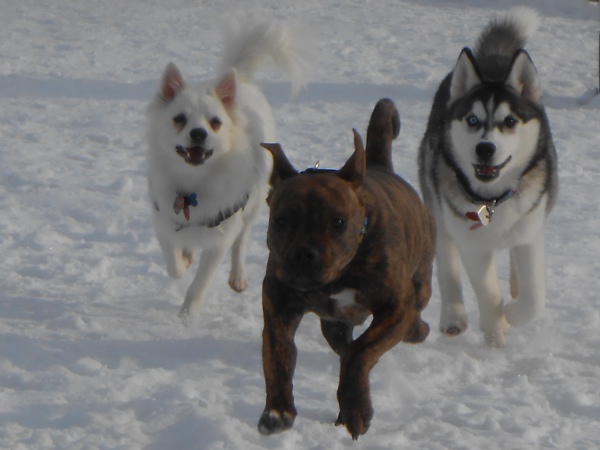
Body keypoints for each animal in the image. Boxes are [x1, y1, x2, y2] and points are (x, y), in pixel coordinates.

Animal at [146, 18, 310, 324]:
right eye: (179, 119)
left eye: (216, 122)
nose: (198, 134)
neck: (195, 180)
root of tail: (242, 79)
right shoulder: (163, 222)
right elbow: (173, 264)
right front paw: (183, 261)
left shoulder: (220, 239)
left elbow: (200, 282)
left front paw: (187, 317)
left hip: (254, 203)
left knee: (241, 241)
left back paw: (237, 276)